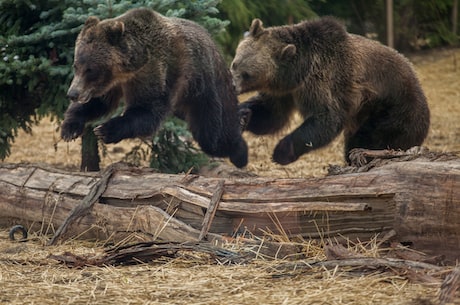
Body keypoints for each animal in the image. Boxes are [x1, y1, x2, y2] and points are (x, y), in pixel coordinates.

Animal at [62, 7, 248, 166]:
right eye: (76, 65)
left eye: (90, 70)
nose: (72, 93)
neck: (127, 71)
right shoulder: (111, 85)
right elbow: (98, 102)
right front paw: (69, 128)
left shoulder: (155, 72)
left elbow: (148, 109)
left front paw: (105, 130)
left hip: (205, 86)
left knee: (211, 134)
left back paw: (240, 148)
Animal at [232, 16, 430, 164]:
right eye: (235, 64)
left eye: (247, 74)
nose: (233, 86)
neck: (297, 72)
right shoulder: (284, 91)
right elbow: (271, 114)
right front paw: (242, 115)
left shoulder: (322, 81)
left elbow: (326, 118)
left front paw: (280, 152)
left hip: (393, 111)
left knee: (373, 138)